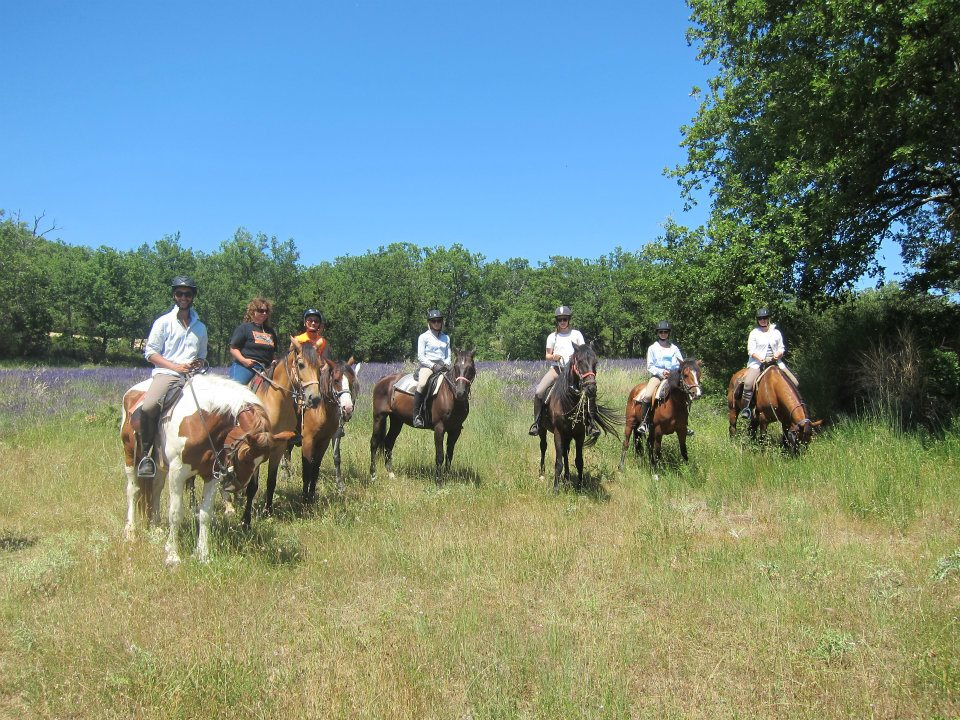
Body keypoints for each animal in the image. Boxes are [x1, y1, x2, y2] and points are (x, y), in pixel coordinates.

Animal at [120, 372, 292, 568]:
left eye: (262, 460)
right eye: (245, 454)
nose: (235, 486)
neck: (201, 421)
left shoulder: (212, 476)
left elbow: (205, 514)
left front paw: (203, 554)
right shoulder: (177, 473)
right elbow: (175, 513)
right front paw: (173, 555)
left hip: (160, 463)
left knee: (155, 488)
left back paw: (156, 527)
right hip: (130, 456)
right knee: (133, 491)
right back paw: (130, 531)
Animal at [368, 348, 476, 484]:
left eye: (470, 367)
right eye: (456, 367)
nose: (460, 393)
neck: (450, 395)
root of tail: (383, 379)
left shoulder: (455, 430)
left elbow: (449, 455)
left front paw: (446, 478)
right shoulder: (439, 428)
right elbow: (440, 456)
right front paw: (439, 482)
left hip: (397, 420)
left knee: (388, 442)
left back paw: (391, 474)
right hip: (379, 417)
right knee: (374, 443)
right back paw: (373, 475)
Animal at [536, 342, 620, 490]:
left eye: (595, 362)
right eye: (579, 361)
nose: (591, 388)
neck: (569, 401)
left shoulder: (579, 434)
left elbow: (579, 461)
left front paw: (580, 486)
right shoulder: (558, 433)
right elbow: (558, 462)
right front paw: (556, 488)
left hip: (568, 435)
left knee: (566, 452)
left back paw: (567, 477)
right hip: (542, 429)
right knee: (543, 446)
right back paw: (542, 473)